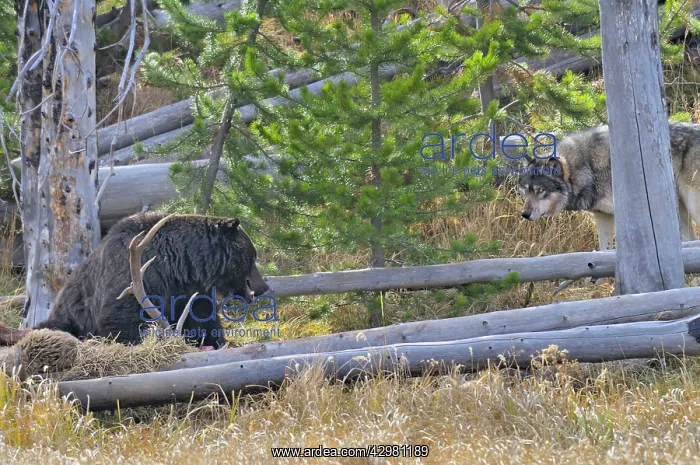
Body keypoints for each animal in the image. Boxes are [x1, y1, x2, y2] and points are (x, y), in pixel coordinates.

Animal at [33, 212, 270, 349]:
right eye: (252, 256)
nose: (263, 287)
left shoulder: (193, 295)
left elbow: (207, 325)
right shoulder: (134, 283)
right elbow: (123, 324)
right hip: (65, 317)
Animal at [517, 122, 700, 250]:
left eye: (541, 191)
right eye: (525, 190)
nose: (524, 214)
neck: (587, 167)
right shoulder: (602, 217)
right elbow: (603, 252)